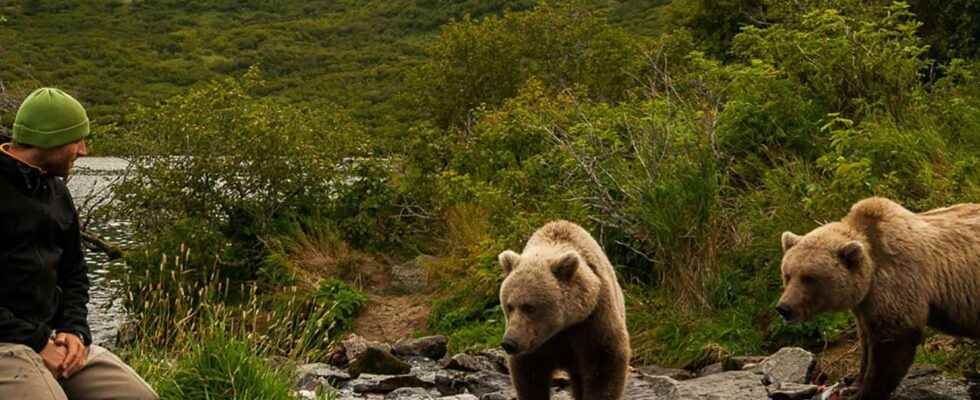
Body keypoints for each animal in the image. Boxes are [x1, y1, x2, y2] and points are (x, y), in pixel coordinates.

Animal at [498, 220, 628, 398]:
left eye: (529, 307)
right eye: (509, 306)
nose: (509, 342)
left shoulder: (593, 320)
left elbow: (604, 363)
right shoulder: (536, 344)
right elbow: (529, 375)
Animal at [780, 198, 980, 400]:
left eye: (809, 278)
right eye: (788, 275)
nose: (784, 307)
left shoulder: (898, 278)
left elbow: (893, 342)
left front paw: (864, 392)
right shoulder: (865, 303)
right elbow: (866, 340)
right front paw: (853, 385)